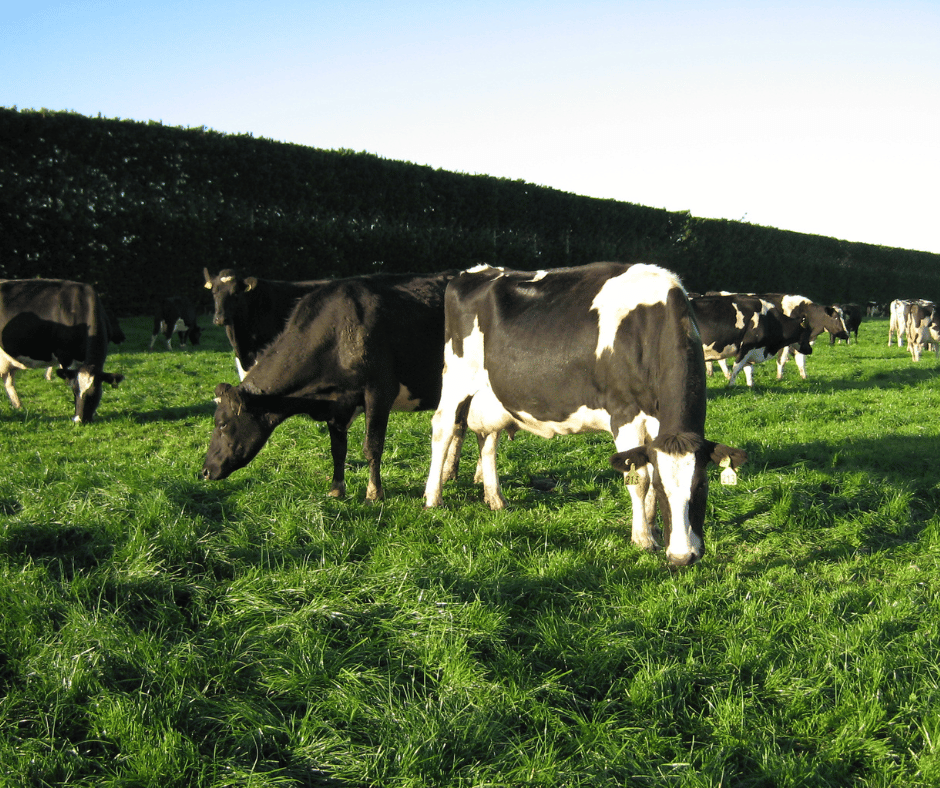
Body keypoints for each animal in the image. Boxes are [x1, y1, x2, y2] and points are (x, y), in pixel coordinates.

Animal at [0, 279, 124, 422]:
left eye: (94, 393)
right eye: (74, 392)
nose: (79, 420)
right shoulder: (64, 355)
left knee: (8, 382)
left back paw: (19, 407)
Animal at [202, 270, 461, 500]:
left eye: (222, 423)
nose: (205, 470)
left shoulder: (379, 392)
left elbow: (372, 447)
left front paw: (373, 494)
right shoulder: (337, 404)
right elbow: (337, 449)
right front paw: (337, 489)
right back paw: (450, 474)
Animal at [423, 263, 747, 567]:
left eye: (702, 486)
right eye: (663, 488)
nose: (683, 557)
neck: (648, 328)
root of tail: (475, 271)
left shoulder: (657, 424)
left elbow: (648, 468)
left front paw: (653, 529)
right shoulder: (624, 414)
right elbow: (639, 479)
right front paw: (642, 538)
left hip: (493, 394)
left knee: (488, 440)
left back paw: (496, 499)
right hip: (457, 378)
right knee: (443, 428)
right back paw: (433, 498)